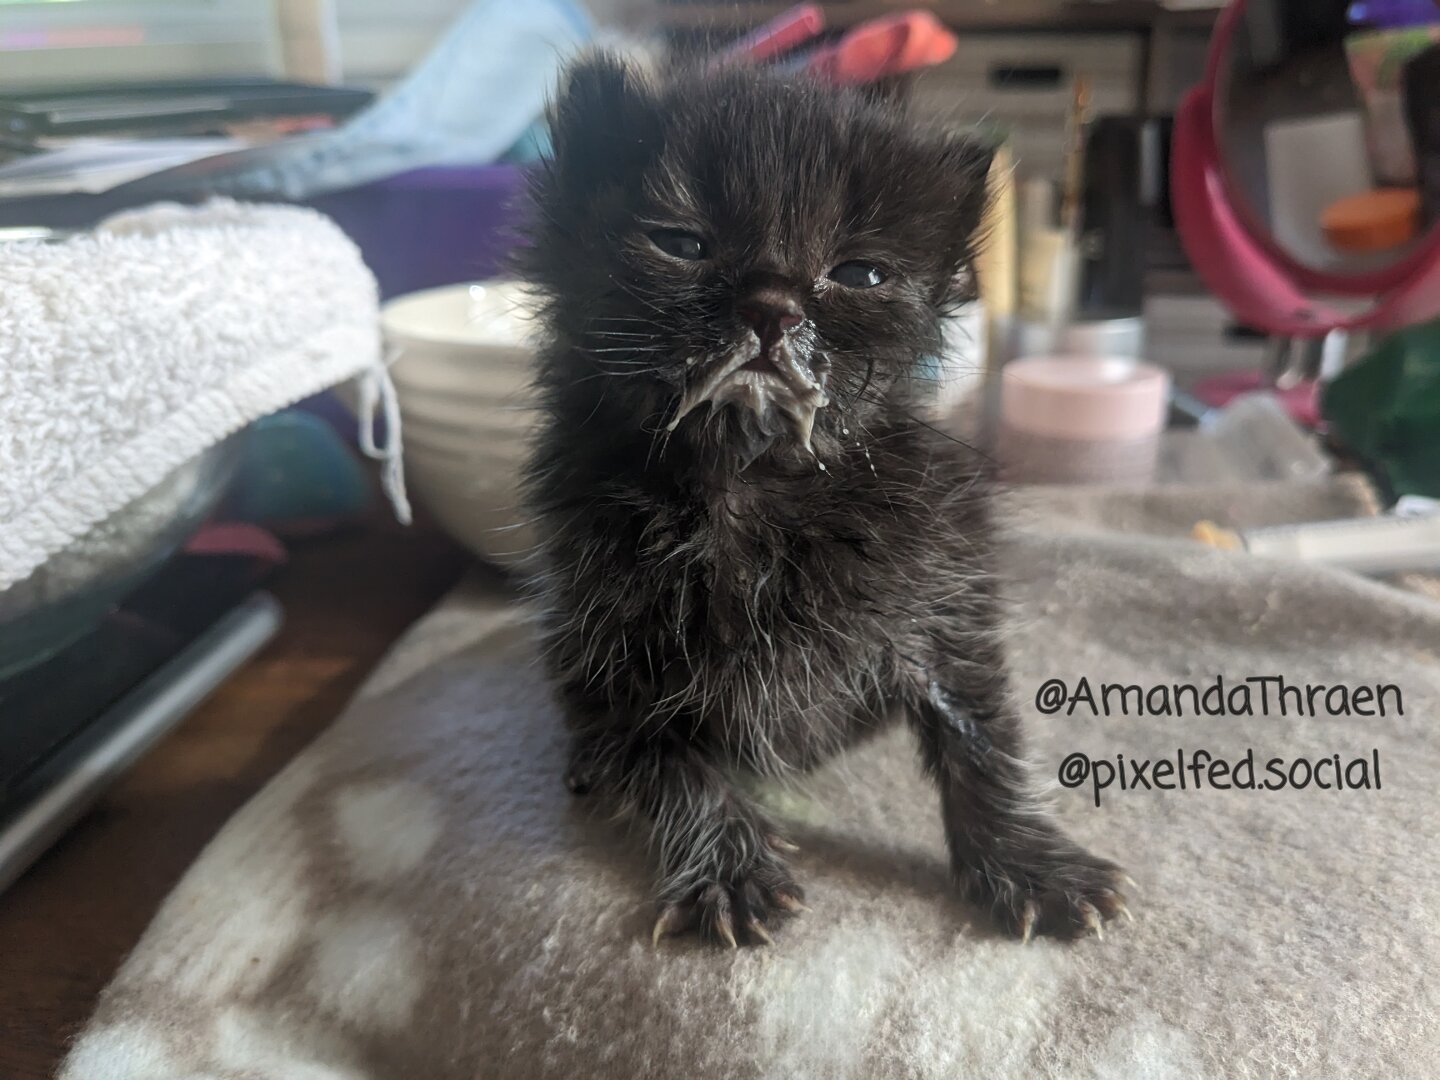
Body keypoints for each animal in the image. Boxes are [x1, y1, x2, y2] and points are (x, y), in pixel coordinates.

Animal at [521, 52, 1134, 944]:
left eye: (859, 274)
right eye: (681, 244)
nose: (772, 307)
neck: (746, 486)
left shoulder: (942, 599)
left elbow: (981, 735)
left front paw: (1032, 864)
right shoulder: (603, 654)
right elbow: (665, 764)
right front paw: (727, 866)